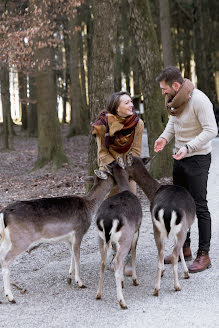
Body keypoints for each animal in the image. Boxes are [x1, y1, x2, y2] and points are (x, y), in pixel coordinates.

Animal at [0, 170, 114, 304]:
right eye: (111, 173)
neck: (90, 207)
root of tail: (3, 213)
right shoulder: (79, 231)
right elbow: (77, 256)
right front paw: (80, 282)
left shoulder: (68, 239)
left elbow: (72, 254)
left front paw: (69, 278)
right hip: (21, 238)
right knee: (6, 260)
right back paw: (10, 297)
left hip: (6, 240)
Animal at [96, 160, 142, 308]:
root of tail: (107, 220)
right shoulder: (136, 229)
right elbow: (133, 252)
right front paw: (134, 280)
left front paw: (122, 282)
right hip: (125, 237)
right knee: (117, 261)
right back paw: (122, 302)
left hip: (100, 238)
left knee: (103, 262)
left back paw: (98, 294)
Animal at [125, 155, 195, 296]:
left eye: (123, 165)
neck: (154, 192)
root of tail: (167, 209)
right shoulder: (181, 229)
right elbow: (180, 250)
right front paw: (186, 273)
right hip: (178, 227)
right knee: (172, 254)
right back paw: (175, 285)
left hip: (158, 227)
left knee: (161, 252)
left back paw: (156, 288)